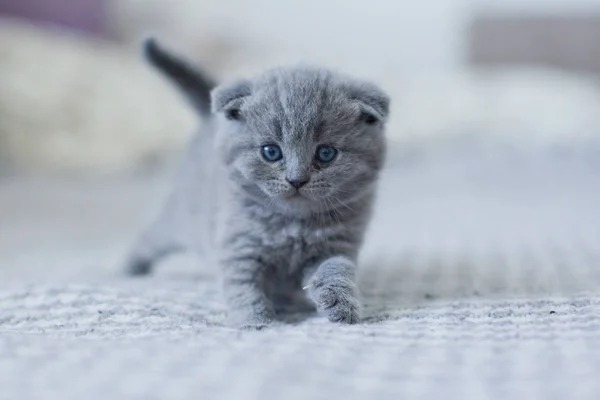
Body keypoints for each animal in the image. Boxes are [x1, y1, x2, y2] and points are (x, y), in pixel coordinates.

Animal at [126, 39, 390, 330]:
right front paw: (257, 323)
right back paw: (128, 269)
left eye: (325, 153)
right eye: (271, 152)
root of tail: (210, 120)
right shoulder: (240, 247)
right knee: (149, 237)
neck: (293, 224)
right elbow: (243, 288)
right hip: (179, 218)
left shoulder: (336, 245)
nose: (296, 179)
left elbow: (335, 270)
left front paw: (340, 304)